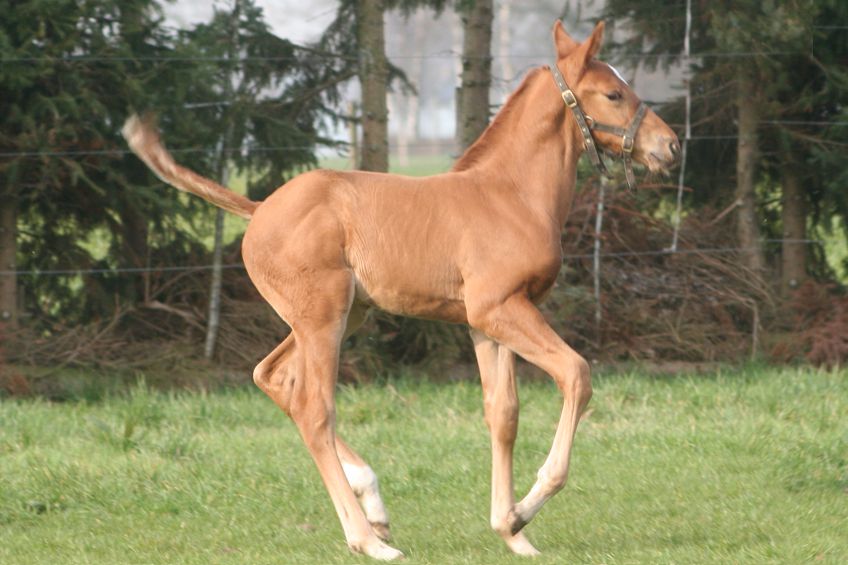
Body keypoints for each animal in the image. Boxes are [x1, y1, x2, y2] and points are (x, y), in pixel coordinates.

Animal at [124, 22, 676, 560]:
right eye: (613, 93)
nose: (669, 146)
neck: (511, 195)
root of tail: (259, 208)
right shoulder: (501, 309)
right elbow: (576, 374)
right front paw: (524, 509)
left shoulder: (487, 323)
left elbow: (503, 413)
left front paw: (510, 530)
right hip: (323, 317)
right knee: (314, 408)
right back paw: (367, 539)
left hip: (342, 316)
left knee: (273, 377)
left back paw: (374, 504)